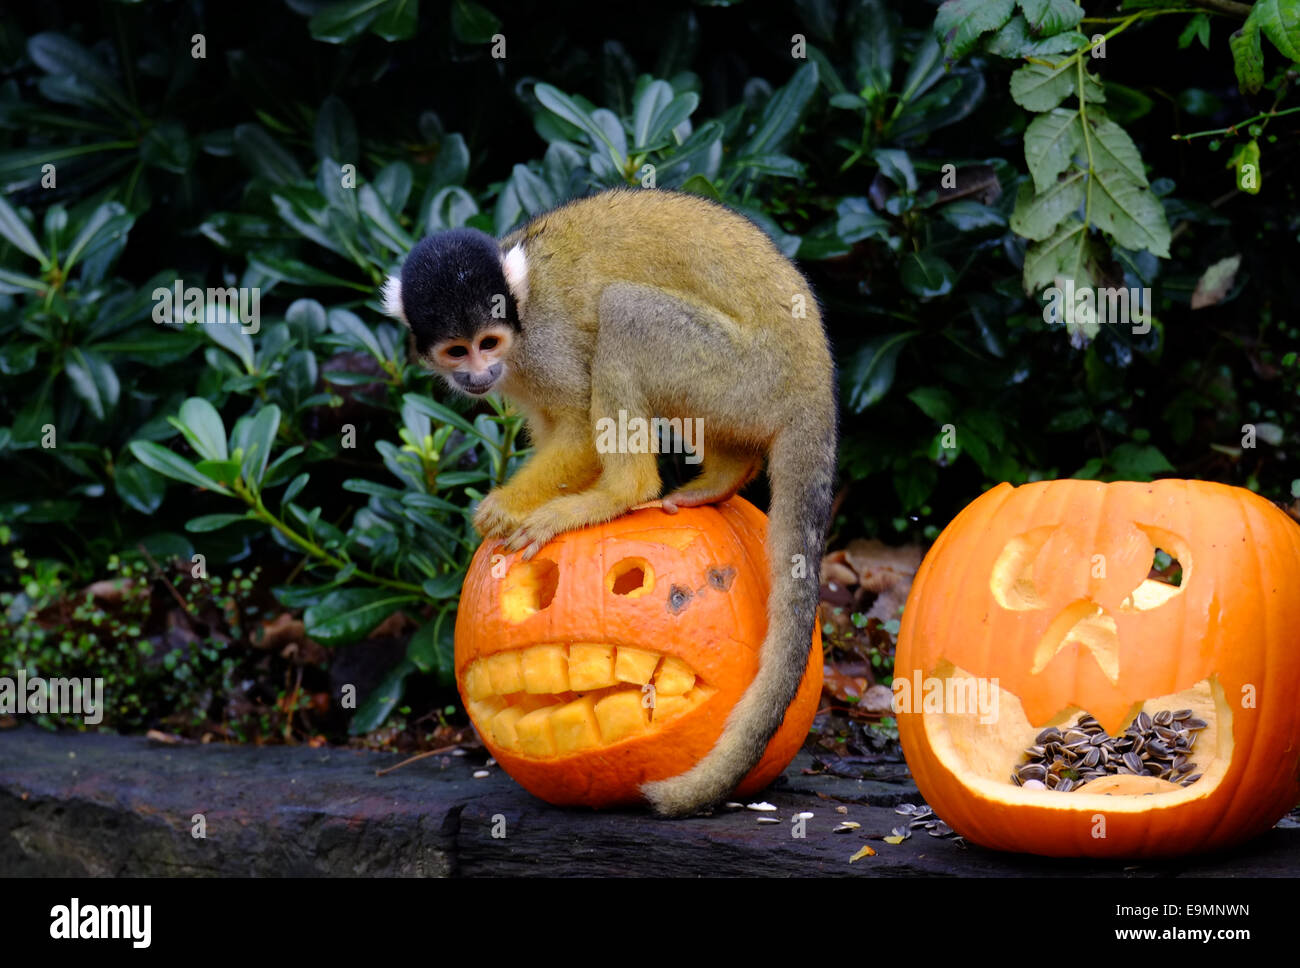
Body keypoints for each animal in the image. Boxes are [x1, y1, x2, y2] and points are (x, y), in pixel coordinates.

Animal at [379, 188, 837, 815]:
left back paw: (622, 493)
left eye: (488, 342)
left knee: (626, 311)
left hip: (746, 373)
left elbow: (575, 426)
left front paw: (505, 508)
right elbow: (554, 431)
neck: (519, 320)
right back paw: (725, 474)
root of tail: (815, 381)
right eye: (457, 351)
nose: (480, 373)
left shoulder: (543, 345)